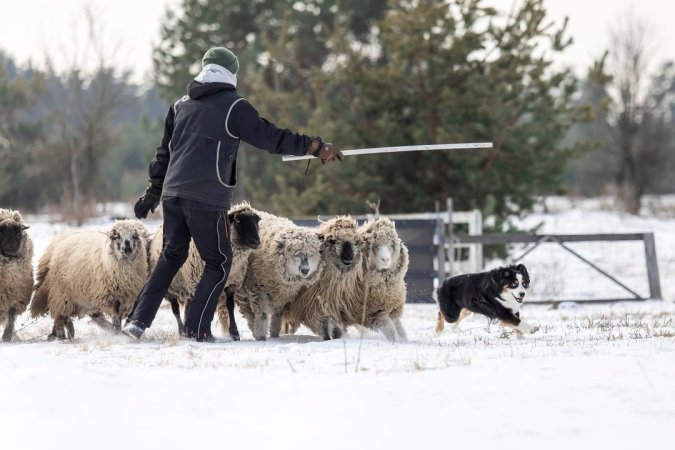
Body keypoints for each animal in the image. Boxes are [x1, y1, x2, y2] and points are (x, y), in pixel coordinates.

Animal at [148, 202, 262, 340]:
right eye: (238, 220)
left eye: (257, 220)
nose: (256, 242)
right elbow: (205, 306)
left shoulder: (232, 283)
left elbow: (230, 306)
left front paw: (234, 333)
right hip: (172, 287)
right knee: (176, 310)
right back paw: (182, 331)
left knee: (188, 307)